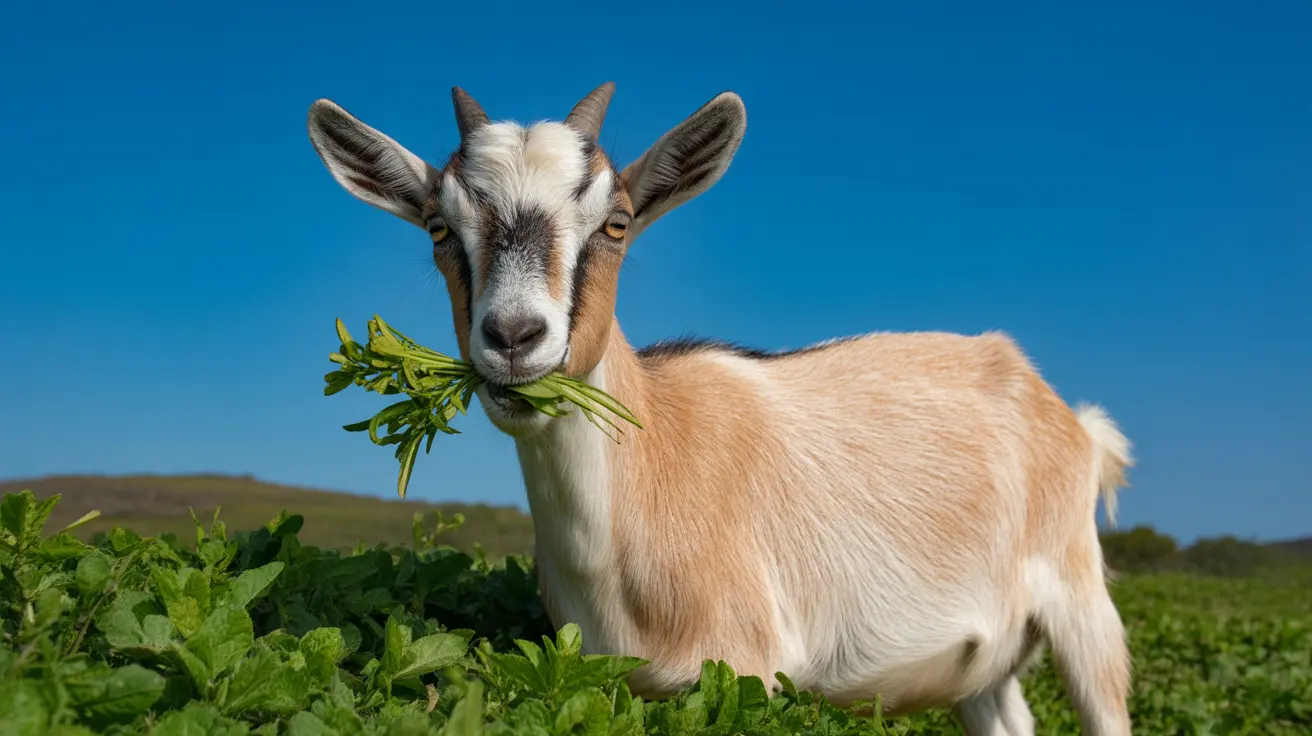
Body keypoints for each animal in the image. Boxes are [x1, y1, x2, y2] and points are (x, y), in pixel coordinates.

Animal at [306, 82, 1135, 736]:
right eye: (440, 228)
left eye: (616, 223)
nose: (514, 337)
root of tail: (1065, 413)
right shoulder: (618, 682)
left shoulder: (746, 675)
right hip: (986, 668)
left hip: (1082, 601)